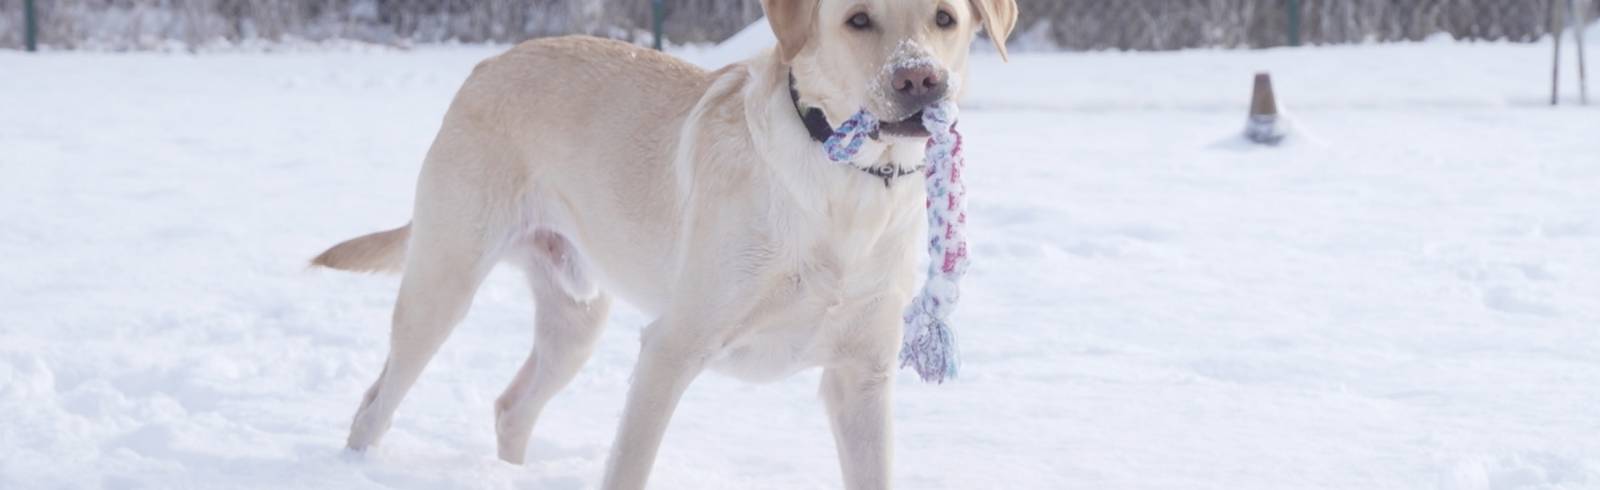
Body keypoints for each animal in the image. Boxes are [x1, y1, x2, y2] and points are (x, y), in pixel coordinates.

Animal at [312, 0, 1011, 486]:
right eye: (858, 20)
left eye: (945, 18)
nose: (920, 80)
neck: (848, 188)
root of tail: (488, 64)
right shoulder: (670, 350)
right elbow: (629, 466)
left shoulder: (861, 379)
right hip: (444, 284)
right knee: (375, 404)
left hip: (576, 320)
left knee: (512, 407)